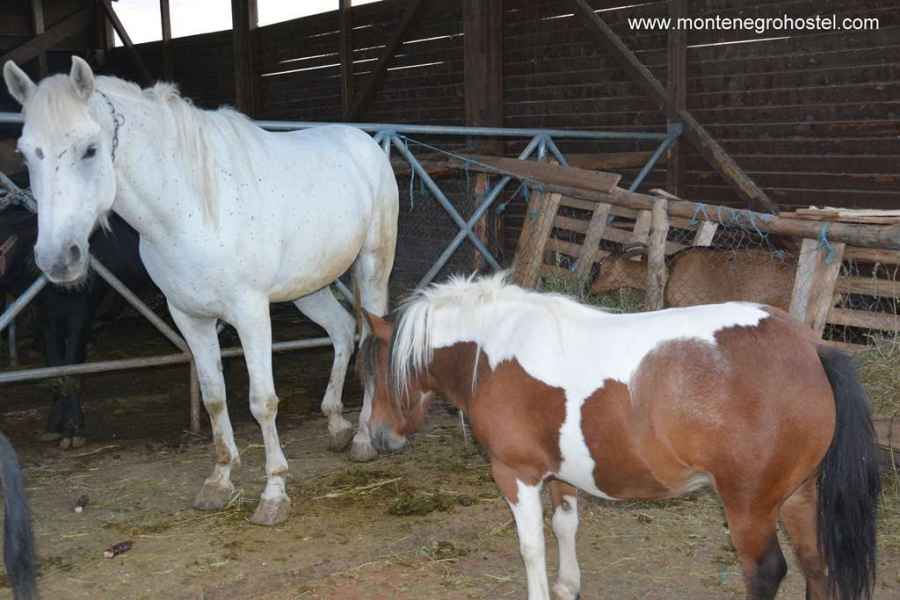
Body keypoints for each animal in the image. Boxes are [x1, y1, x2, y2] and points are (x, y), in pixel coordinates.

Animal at [0, 198, 152, 448]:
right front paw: (53, 427)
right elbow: (56, 367)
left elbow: (73, 365)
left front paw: (73, 431)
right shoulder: (45, 316)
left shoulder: (83, 312)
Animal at [358, 273, 880, 600]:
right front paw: (568, 585)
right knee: (816, 564)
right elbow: (563, 526)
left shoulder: (516, 474)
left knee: (767, 572)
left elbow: (531, 547)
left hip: (749, 506)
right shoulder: (561, 472)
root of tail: (809, 347)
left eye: (374, 371)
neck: (493, 349)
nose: (378, 438)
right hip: (798, 496)